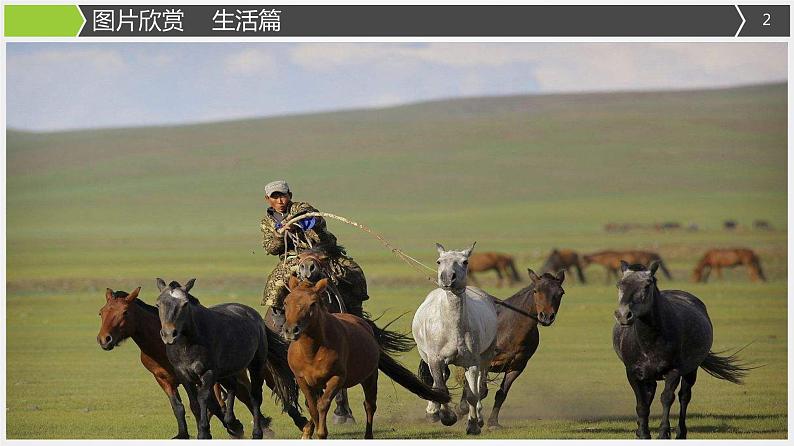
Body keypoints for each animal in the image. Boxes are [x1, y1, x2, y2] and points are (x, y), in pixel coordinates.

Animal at [155, 278, 304, 440]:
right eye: (158, 304)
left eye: (185, 304)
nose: (169, 334)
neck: (188, 344)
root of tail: (255, 316)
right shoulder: (183, 375)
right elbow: (194, 403)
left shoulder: (209, 372)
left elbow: (203, 398)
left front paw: (204, 432)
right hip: (226, 372)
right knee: (233, 386)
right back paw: (231, 422)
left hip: (255, 366)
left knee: (255, 396)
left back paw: (256, 432)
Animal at [282, 278, 448, 438]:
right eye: (286, 302)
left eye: (312, 303)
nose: (290, 330)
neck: (312, 352)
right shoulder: (302, 380)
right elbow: (313, 407)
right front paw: (309, 431)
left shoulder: (337, 378)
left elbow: (322, 405)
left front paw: (321, 433)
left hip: (370, 377)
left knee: (369, 405)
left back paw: (368, 435)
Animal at [412, 242, 498, 434]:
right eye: (439, 261)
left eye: (465, 262)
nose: (447, 278)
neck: (452, 328)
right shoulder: (435, 360)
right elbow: (440, 388)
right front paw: (446, 417)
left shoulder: (472, 362)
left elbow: (472, 395)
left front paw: (473, 425)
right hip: (428, 357)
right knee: (440, 381)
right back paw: (433, 411)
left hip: (485, 358)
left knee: (479, 386)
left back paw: (478, 417)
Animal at [612, 262, 748, 440]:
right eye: (619, 284)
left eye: (647, 285)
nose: (623, 315)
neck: (649, 342)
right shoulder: (632, 373)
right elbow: (642, 403)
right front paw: (643, 433)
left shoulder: (674, 371)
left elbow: (667, 398)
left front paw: (663, 432)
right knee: (650, 394)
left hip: (691, 371)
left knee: (684, 397)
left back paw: (681, 433)